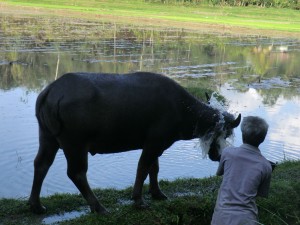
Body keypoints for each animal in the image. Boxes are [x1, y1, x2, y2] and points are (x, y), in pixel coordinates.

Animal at [28, 72, 241, 214]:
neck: (182, 110)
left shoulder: (156, 144)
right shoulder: (154, 142)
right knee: (76, 173)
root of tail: (52, 90)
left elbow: (154, 168)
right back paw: (98, 207)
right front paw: (138, 199)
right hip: (75, 145)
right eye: (224, 133)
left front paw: (157, 193)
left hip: (47, 137)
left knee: (41, 164)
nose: (219, 155)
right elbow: (143, 168)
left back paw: (36, 205)